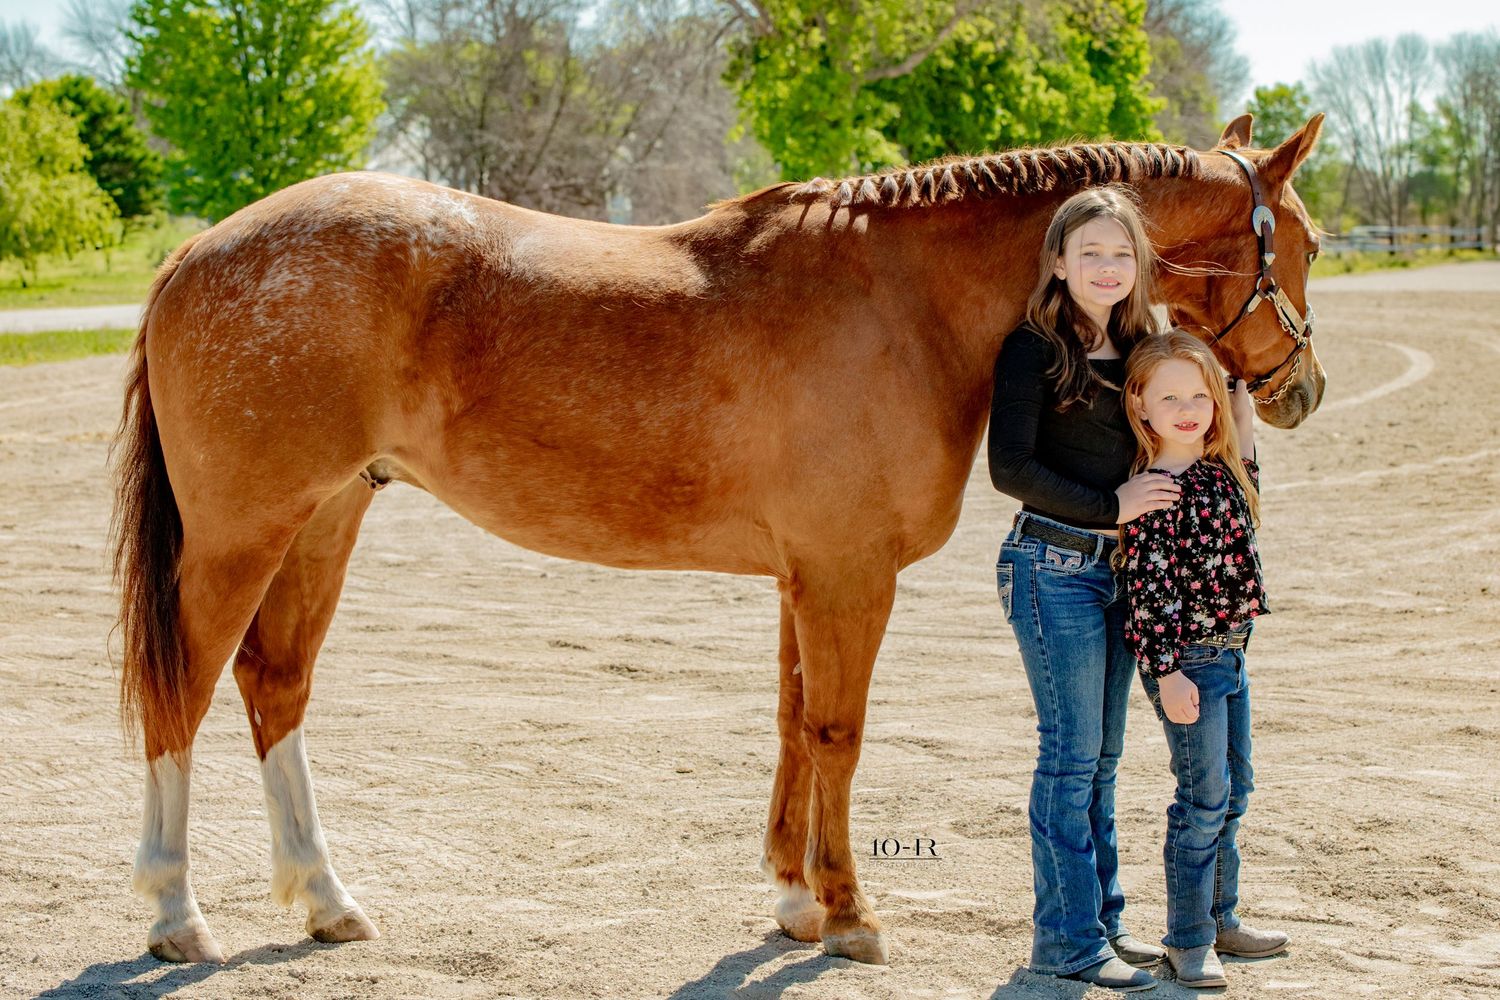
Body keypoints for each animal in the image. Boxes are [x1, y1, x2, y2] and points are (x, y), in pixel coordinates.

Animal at [112, 112, 1325, 966]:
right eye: (1304, 243)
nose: (1302, 389)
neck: (904, 303)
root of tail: (200, 250)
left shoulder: (804, 576)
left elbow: (793, 726)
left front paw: (792, 899)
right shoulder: (847, 577)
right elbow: (838, 732)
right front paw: (849, 912)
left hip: (326, 517)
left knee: (275, 687)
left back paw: (325, 899)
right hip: (241, 538)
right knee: (183, 693)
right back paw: (177, 915)